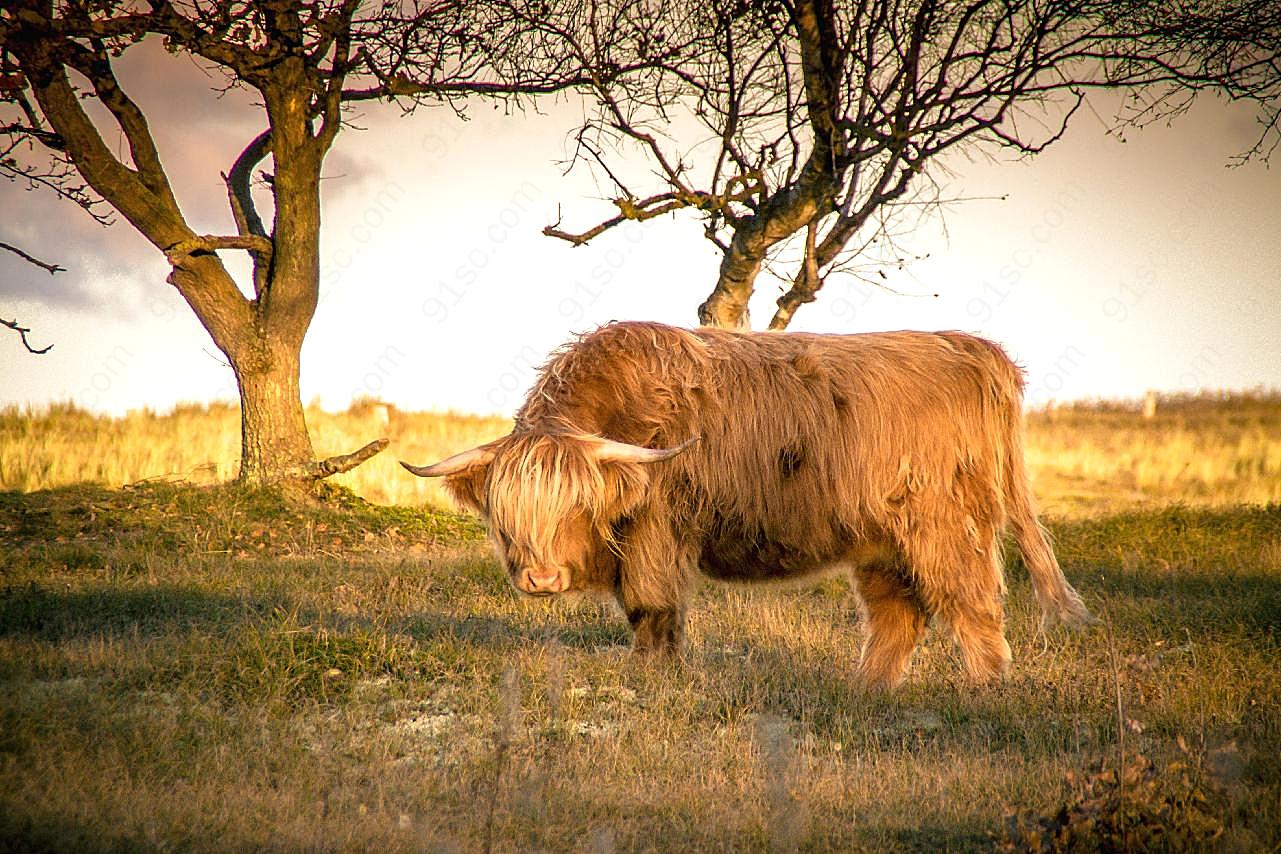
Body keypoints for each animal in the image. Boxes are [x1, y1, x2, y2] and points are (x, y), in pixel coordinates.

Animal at [402, 320, 1091, 686]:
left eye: (575, 505)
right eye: (506, 514)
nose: (541, 578)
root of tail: (967, 346)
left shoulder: (656, 531)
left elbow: (650, 607)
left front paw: (651, 676)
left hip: (940, 525)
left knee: (971, 602)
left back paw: (986, 687)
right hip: (882, 541)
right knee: (898, 615)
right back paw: (867, 690)